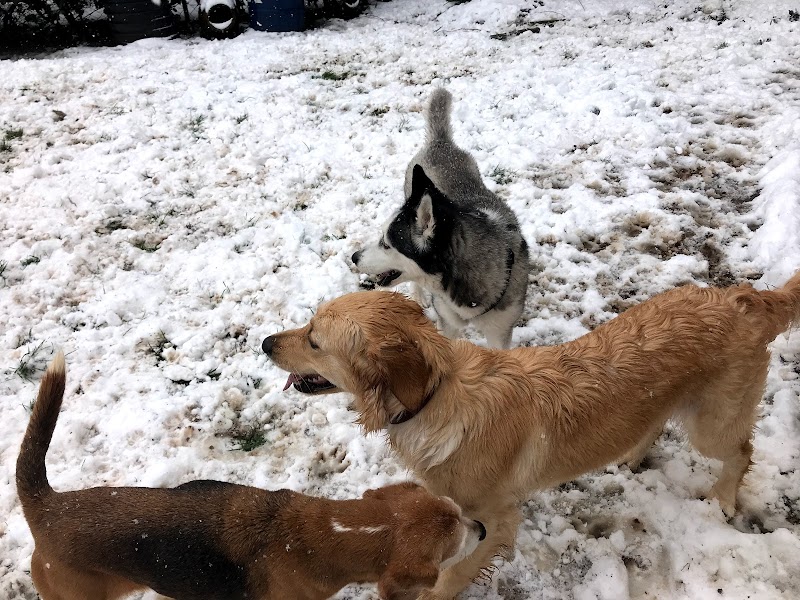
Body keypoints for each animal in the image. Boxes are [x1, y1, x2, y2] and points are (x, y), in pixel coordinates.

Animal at [263, 273, 800, 599]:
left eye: (314, 339)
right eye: (309, 325)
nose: (265, 342)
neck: (436, 394)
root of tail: (747, 298)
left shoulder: (494, 520)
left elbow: (453, 572)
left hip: (713, 423)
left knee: (741, 451)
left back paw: (724, 497)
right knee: (654, 422)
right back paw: (631, 454)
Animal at [351, 88, 531, 349]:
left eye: (386, 243)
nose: (354, 257)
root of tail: (441, 143)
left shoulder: (501, 329)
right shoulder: (447, 322)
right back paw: (418, 296)